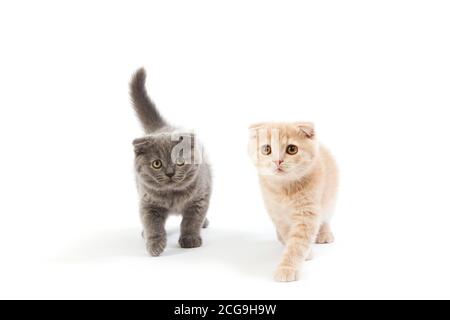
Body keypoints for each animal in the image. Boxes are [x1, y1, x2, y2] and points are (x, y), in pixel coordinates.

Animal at [129, 69, 212, 256]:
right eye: (156, 164)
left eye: (180, 162)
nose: (170, 173)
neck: (173, 195)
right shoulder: (148, 203)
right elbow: (153, 225)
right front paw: (154, 245)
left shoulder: (199, 198)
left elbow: (191, 221)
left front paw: (190, 239)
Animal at [248, 121, 340, 282]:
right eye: (266, 149)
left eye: (292, 149)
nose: (277, 161)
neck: (285, 190)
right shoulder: (277, 214)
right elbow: (288, 234)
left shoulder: (307, 213)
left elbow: (297, 244)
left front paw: (287, 268)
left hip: (330, 198)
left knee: (325, 218)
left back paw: (324, 234)